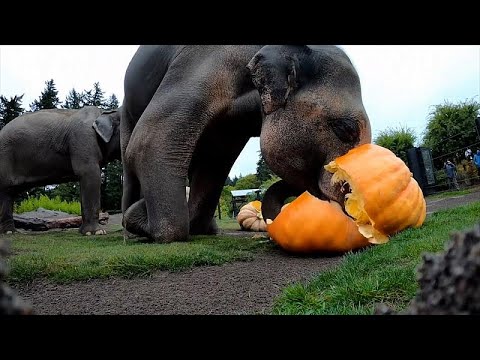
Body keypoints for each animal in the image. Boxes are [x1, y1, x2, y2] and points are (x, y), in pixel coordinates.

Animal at [0, 105, 122, 235]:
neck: (103, 112)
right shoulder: (83, 139)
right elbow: (89, 173)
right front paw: (96, 233)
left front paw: (84, 232)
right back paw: (9, 232)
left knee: (9, 193)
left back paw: (10, 232)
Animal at [120, 44, 372, 242]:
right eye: (346, 129)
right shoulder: (202, 65)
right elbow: (149, 139)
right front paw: (141, 219)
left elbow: (214, 164)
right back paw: (130, 229)